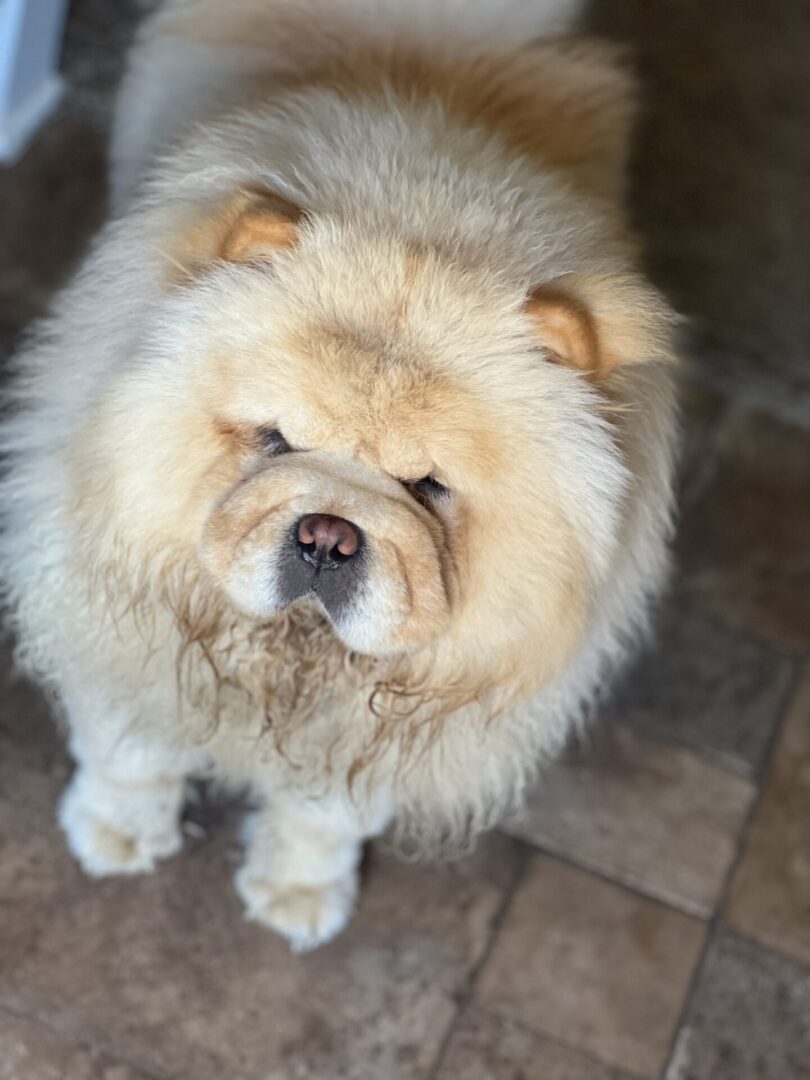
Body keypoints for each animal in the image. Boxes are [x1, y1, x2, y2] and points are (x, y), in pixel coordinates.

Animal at [0, 0, 678, 946]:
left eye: (429, 488)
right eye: (275, 440)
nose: (326, 535)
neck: (294, 656)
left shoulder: (385, 717)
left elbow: (325, 815)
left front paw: (298, 895)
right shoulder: (117, 607)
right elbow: (131, 745)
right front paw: (116, 834)